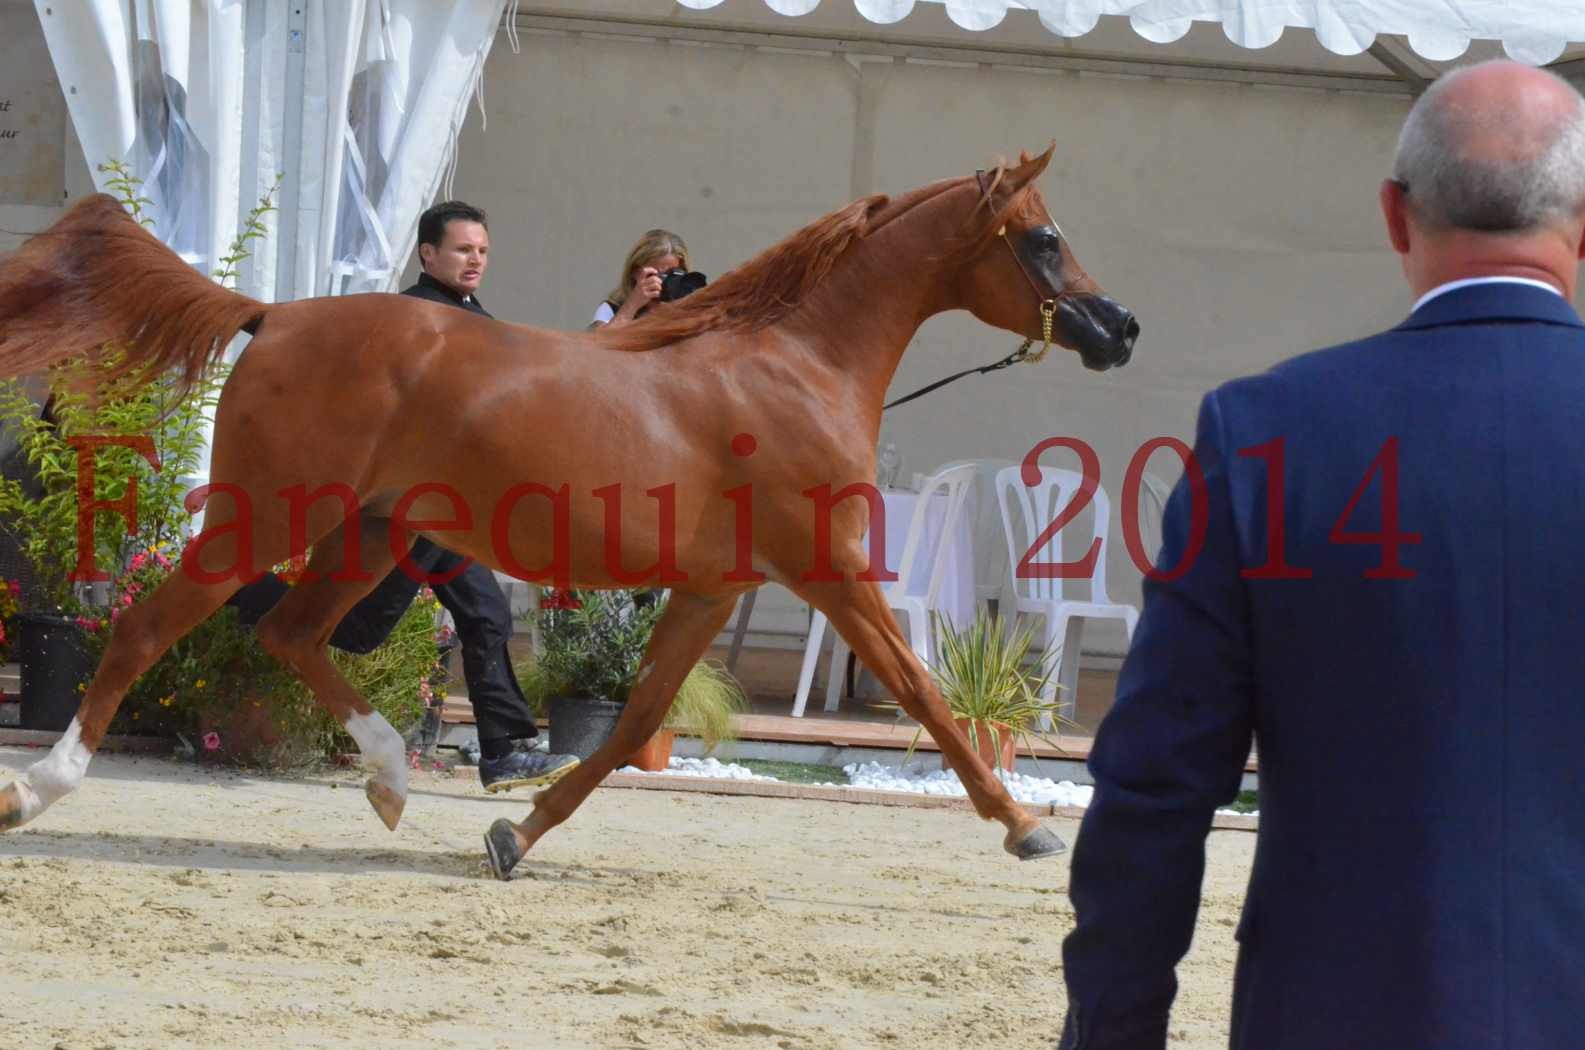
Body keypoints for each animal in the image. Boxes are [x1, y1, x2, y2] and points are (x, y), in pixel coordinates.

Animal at [0, 145, 1141, 881]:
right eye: (1042, 241)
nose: (1118, 328)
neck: (794, 367)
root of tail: (273, 315)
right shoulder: (828, 572)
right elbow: (922, 695)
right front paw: (1025, 826)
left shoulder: (710, 589)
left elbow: (636, 721)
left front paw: (516, 834)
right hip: (272, 513)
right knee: (150, 626)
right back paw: (39, 789)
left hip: (366, 532)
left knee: (290, 633)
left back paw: (390, 782)